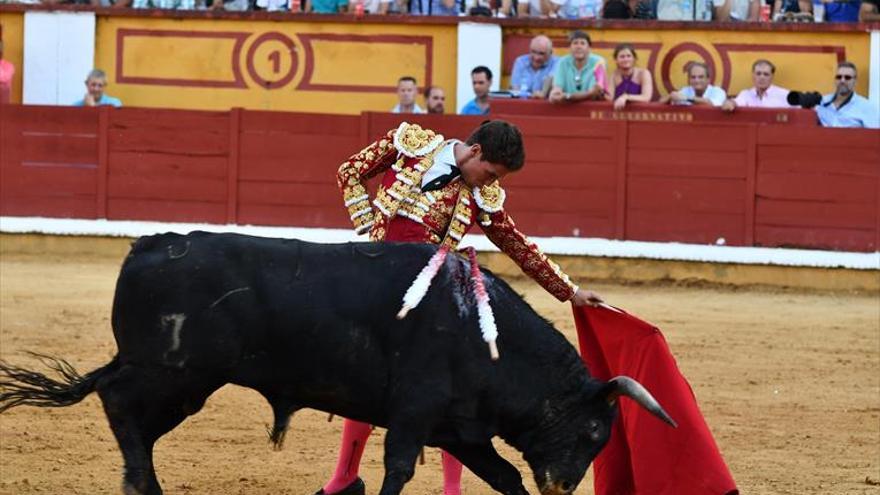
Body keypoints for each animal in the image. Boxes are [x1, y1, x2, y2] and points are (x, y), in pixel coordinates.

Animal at [0, 232, 672, 495]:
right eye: (595, 430)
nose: (563, 485)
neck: (484, 334)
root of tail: (147, 245)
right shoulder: (416, 413)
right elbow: (398, 468)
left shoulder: (459, 429)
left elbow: (503, 475)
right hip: (176, 375)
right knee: (119, 403)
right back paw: (144, 485)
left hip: (178, 379)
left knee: (128, 413)